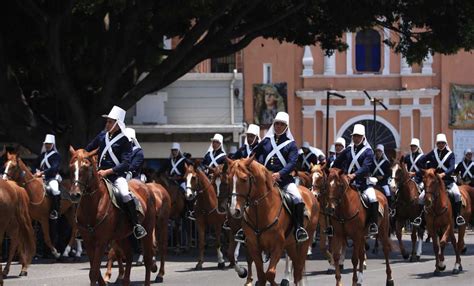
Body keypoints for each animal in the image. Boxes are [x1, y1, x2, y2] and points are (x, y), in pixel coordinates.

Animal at [69, 147, 157, 286]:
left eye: (86, 167)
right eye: (71, 166)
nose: (74, 194)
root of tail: (146, 187)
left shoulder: (101, 242)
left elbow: (94, 272)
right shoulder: (88, 242)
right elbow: (94, 271)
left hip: (147, 230)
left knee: (147, 260)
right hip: (121, 236)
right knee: (129, 255)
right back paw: (125, 281)